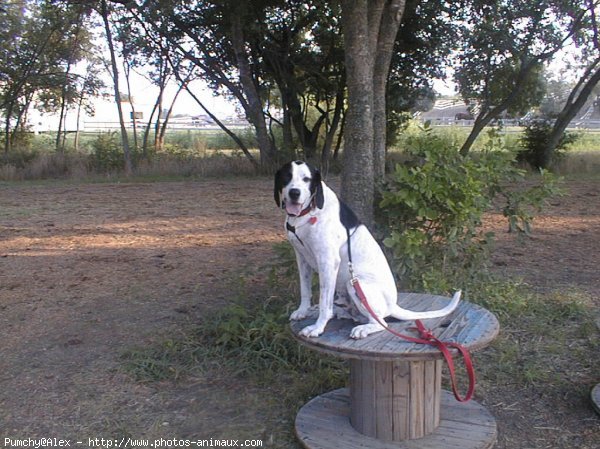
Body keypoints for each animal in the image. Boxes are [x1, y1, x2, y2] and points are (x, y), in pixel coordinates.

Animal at [274, 159, 462, 338]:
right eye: (286, 177)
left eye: (306, 179)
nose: (294, 193)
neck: (308, 214)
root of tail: (393, 305)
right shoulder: (302, 258)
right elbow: (305, 290)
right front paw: (303, 311)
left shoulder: (328, 262)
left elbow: (324, 302)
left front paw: (317, 327)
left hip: (355, 284)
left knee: (381, 323)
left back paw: (362, 328)